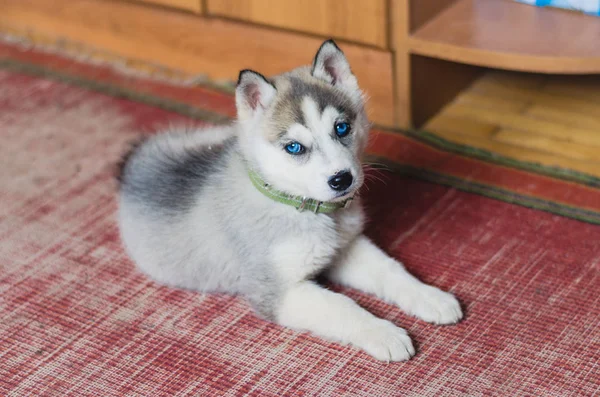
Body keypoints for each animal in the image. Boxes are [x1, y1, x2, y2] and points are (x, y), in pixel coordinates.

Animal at [118, 39, 464, 358]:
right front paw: (384, 332)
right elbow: (340, 305)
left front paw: (430, 296)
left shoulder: (344, 248)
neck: (307, 209)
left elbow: (390, 270)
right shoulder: (276, 291)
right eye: (294, 147)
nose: (342, 179)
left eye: (342, 127)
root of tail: (133, 159)